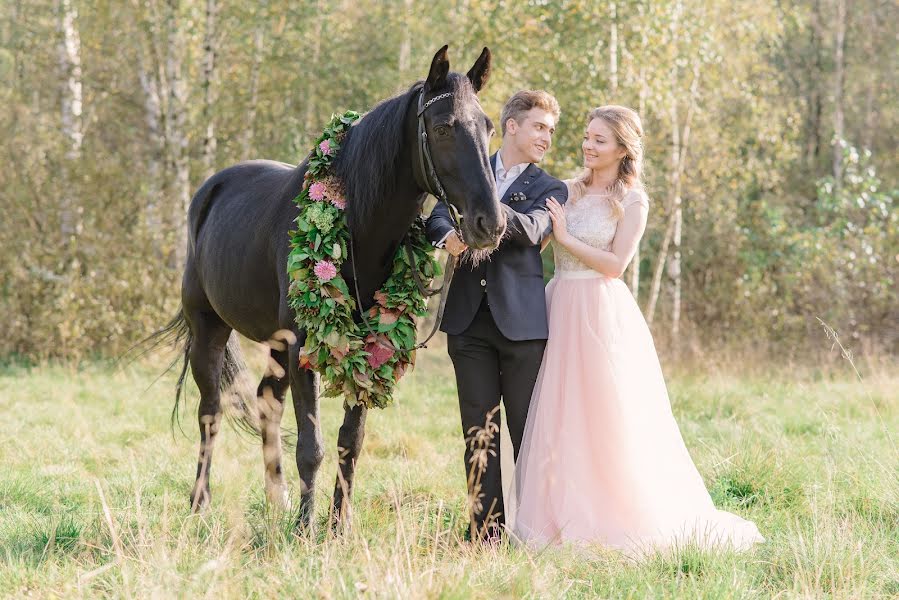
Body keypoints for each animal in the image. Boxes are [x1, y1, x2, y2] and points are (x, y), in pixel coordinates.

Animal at [149, 44, 500, 528]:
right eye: (444, 127)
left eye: (488, 126)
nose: (491, 223)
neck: (356, 226)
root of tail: (208, 191)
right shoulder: (304, 346)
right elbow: (311, 446)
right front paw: (305, 526)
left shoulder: (371, 344)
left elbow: (350, 440)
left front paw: (338, 524)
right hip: (210, 329)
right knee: (210, 413)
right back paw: (200, 503)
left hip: (276, 345)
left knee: (265, 402)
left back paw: (275, 500)